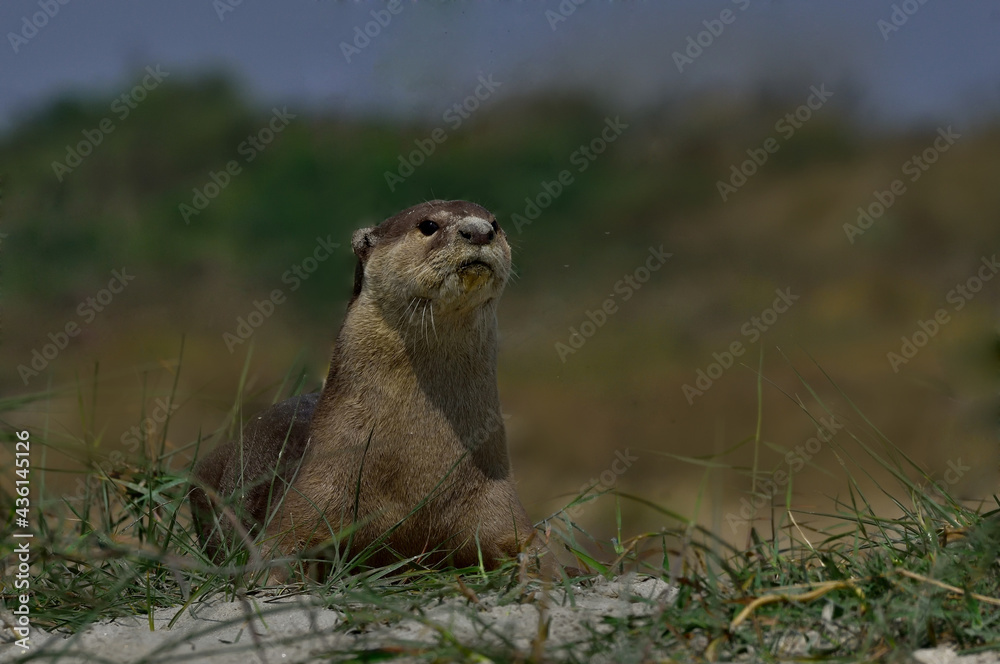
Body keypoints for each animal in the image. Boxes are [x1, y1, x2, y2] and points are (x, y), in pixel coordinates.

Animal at [190, 200, 539, 574]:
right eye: (428, 225)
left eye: (495, 222)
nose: (479, 231)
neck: (415, 473)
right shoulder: (313, 491)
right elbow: (277, 552)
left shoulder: (498, 502)